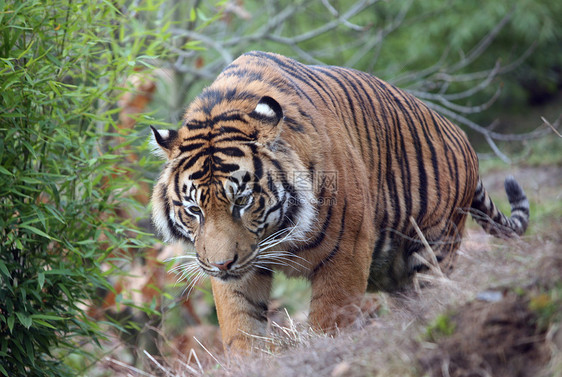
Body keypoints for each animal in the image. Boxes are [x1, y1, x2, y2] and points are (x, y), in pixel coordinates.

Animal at [148, 50, 524, 350]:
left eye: (241, 201)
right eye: (194, 210)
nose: (221, 265)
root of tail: (461, 136)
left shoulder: (347, 251)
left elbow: (330, 318)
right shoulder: (239, 271)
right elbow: (241, 327)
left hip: (434, 245)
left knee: (433, 290)